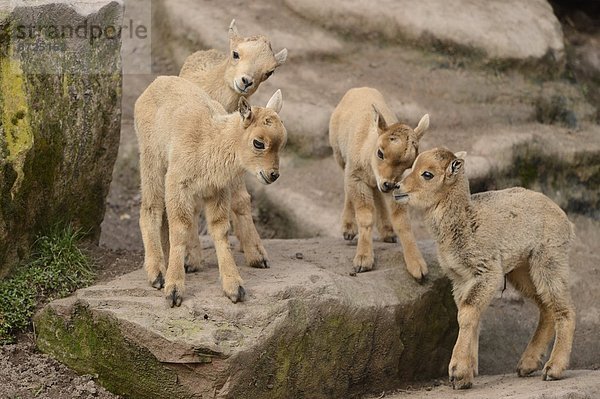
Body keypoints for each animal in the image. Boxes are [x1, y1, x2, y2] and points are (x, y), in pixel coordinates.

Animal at [135, 76, 288, 306]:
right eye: (258, 143)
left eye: (283, 142)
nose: (273, 175)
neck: (209, 140)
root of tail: (155, 83)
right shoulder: (177, 185)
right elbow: (180, 228)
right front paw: (174, 291)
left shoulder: (217, 192)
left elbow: (220, 230)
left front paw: (235, 288)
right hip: (152, 162)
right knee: (150, 209)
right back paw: (158, 274)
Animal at [173, 19, 288, 276]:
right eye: (236, 53)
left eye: (270, 71)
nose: (245, 81)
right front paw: (191, 259)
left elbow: (241, 200)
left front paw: (257, 254)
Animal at [328, 87, 432, 282]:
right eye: (380, 153)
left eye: (409, 165)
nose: (388, 184)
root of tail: (359, 89)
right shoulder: (356, 177)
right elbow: (365, 216)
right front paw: (362, 261)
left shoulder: (397, 186)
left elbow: (402, 221)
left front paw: (418, 267)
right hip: (339, 156)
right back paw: (348, 229)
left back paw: (387, 231)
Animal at [394, 148, 576, 390]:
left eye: (427, 174)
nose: (397, 187)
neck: (465, 220)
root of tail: (566, 220)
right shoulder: (460, 279)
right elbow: (469, 315)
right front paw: (468, 373)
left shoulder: (487, 272)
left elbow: (467, 312)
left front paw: (458, 372)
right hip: (521, 269)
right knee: (546, 308)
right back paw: (527, 365)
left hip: (549, 259)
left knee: (565, 309)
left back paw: (553, 369)